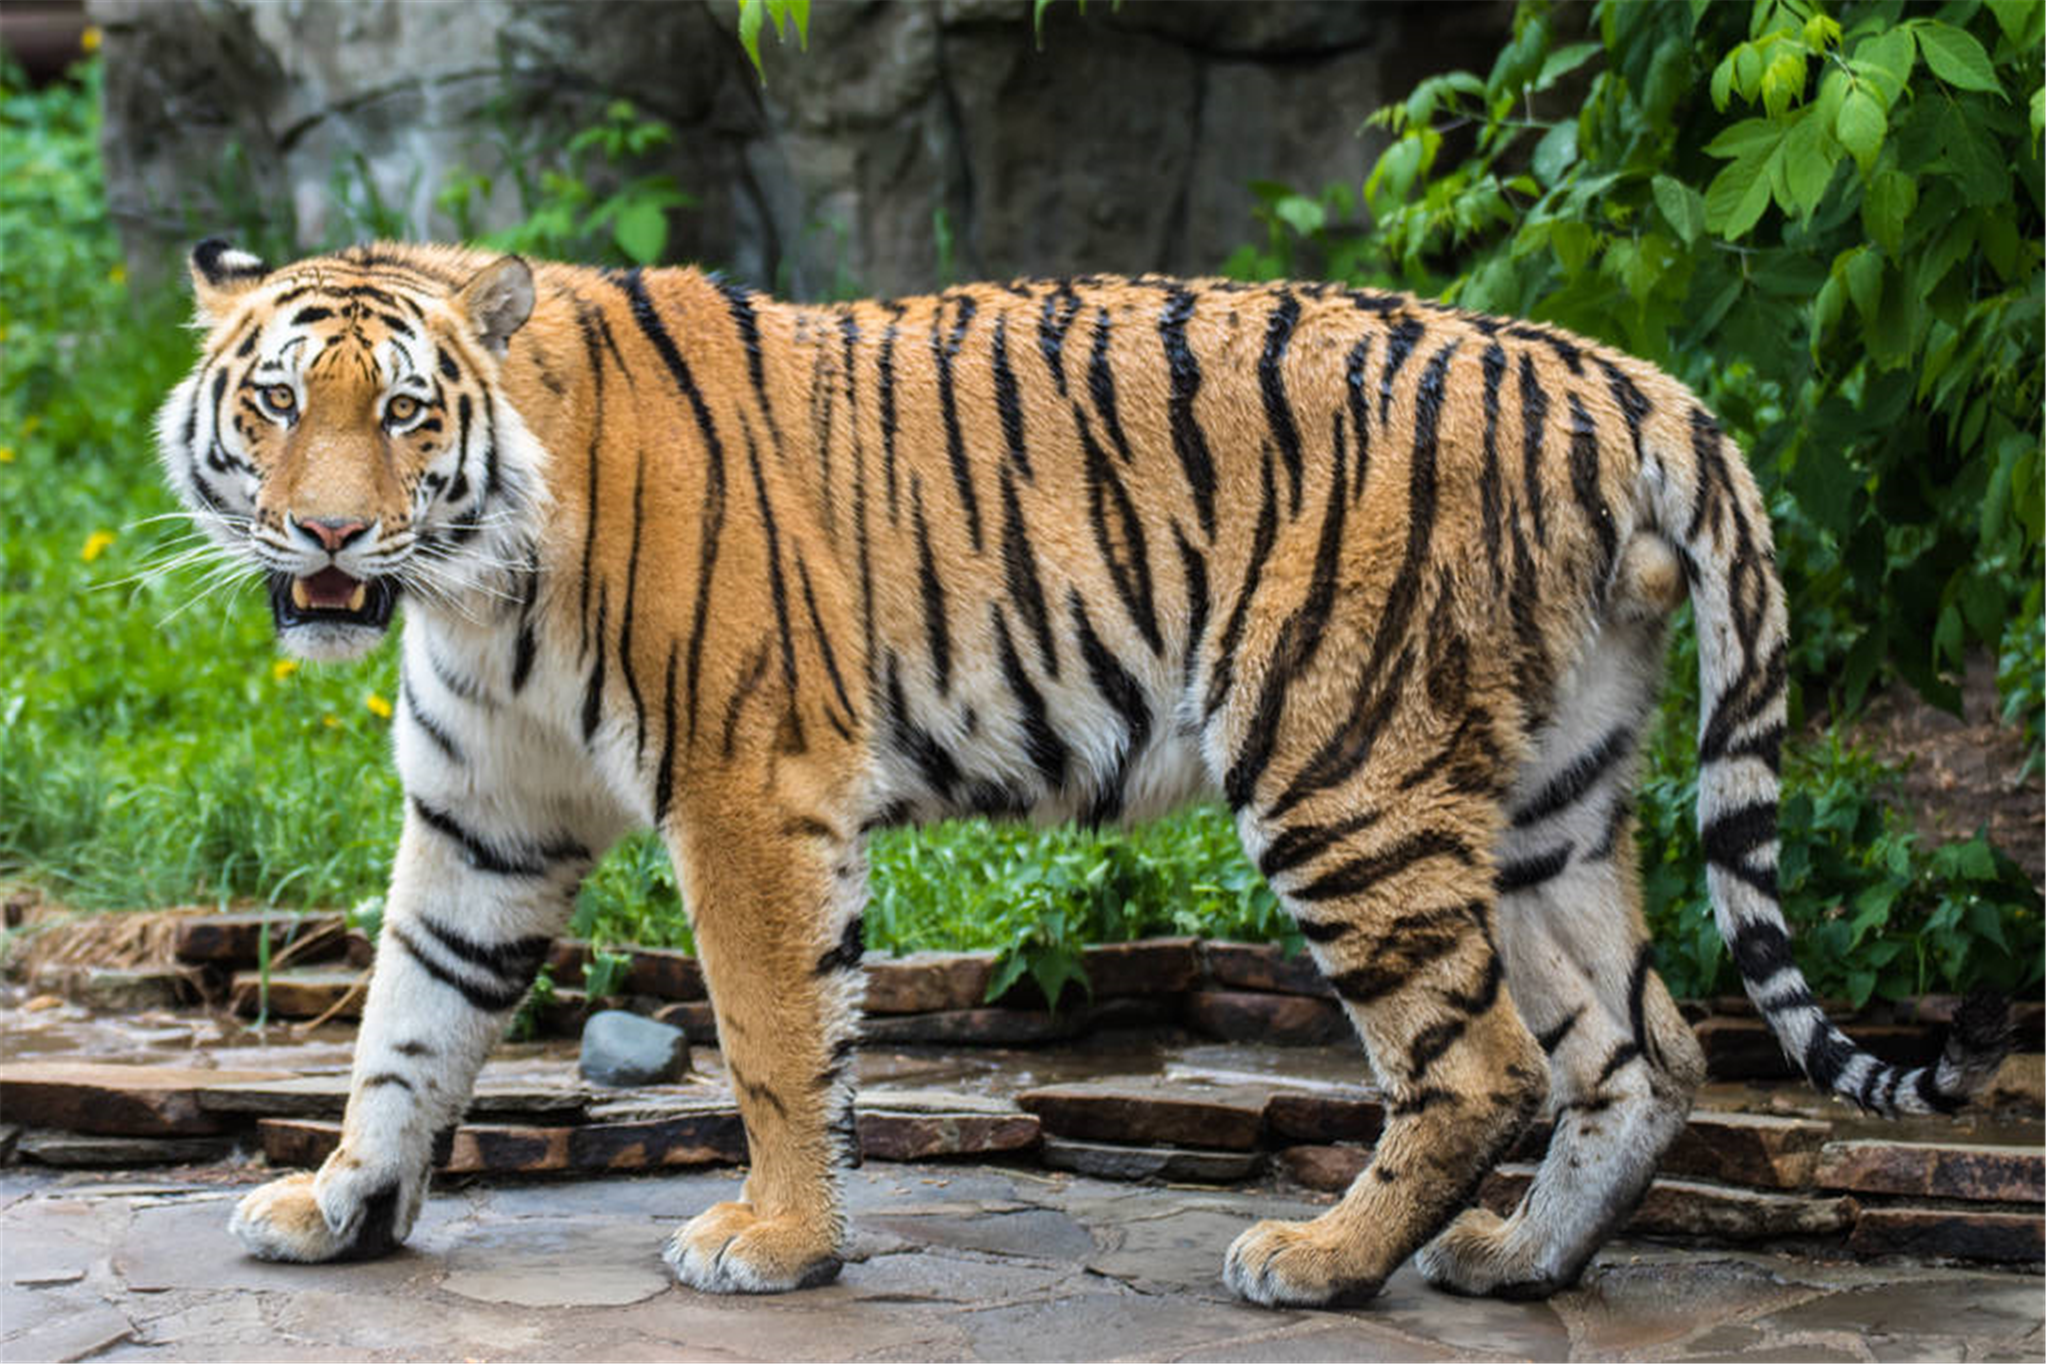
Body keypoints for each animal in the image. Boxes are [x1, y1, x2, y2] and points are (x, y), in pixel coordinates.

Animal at [151, 240, 2005, 1308]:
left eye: (402, 414)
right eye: (277, 401)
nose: (330, 536)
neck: (470, 581)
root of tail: (1623, 375)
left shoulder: (748, 792)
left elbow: (772, 1041)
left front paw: (776, 1245)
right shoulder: (483, 819)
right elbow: (408, 1027)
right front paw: (341, 1204)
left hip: (1342, 764)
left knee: (1476, 1060)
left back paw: (1322, 1262)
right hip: (1552, 791)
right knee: (1643, 1050)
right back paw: (1517, 1263)